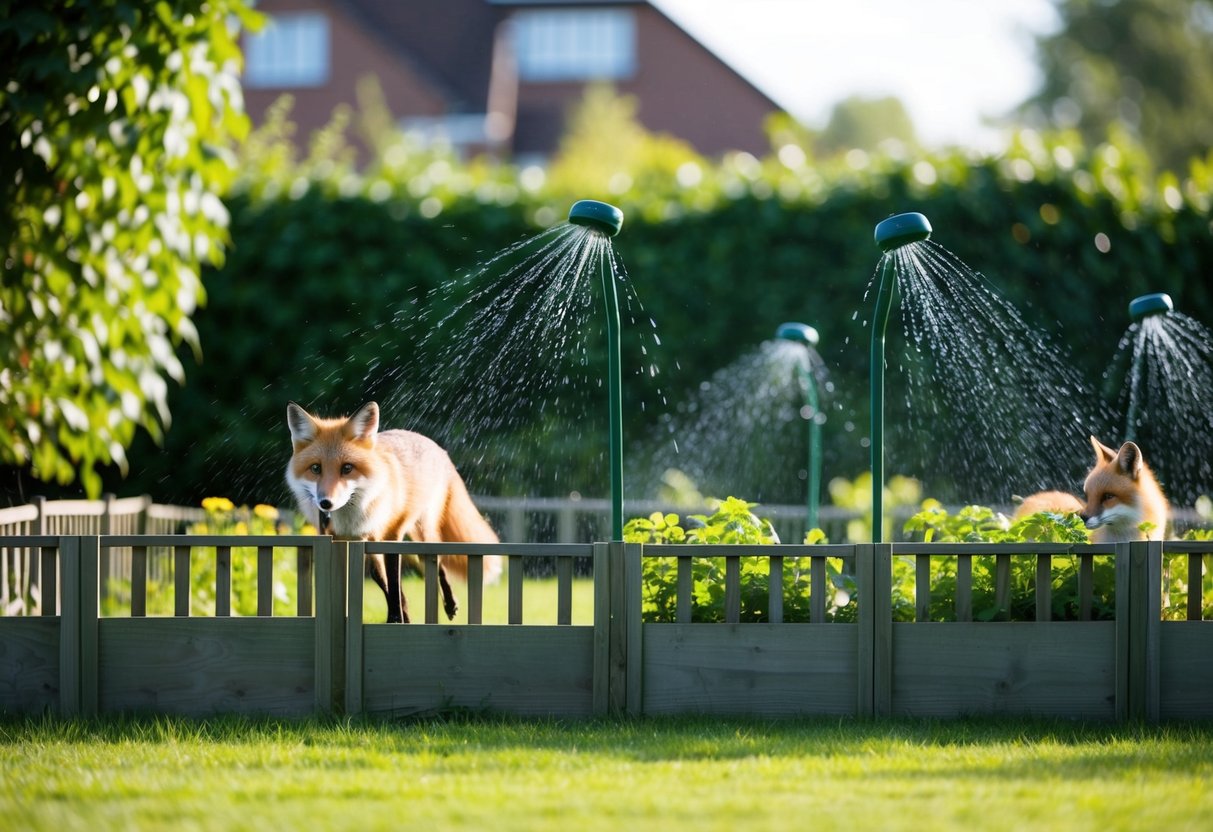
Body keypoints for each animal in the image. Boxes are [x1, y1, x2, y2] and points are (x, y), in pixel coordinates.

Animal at [285, 400, 503, 623]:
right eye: (316, 468)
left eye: (347, 468)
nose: (325, 503)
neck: (352, 519)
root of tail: (436, 446)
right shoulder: (345, 539)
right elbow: (382, 581)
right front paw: (401, 617)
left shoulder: (391, 535)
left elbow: (394, 583)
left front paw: (396, 619)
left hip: (422, 530)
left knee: (436, 559)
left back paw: (450, 603)